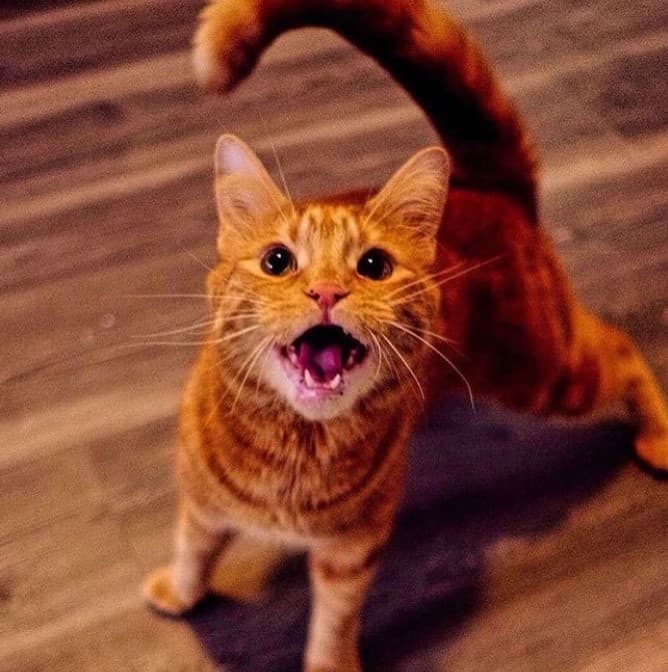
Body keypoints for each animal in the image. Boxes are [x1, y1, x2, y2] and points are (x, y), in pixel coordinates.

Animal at [142, 1, 668, 672]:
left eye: (373, 266)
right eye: (278, 261)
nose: (326, 291)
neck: (296, 452)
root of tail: (485, 186)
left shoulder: (352, 550)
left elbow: (334, 620)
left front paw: (328, 664)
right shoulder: (203, 502)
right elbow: (193, 547)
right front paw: (181, 591)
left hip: (546, 372)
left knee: (623, 349)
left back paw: (658, 437)